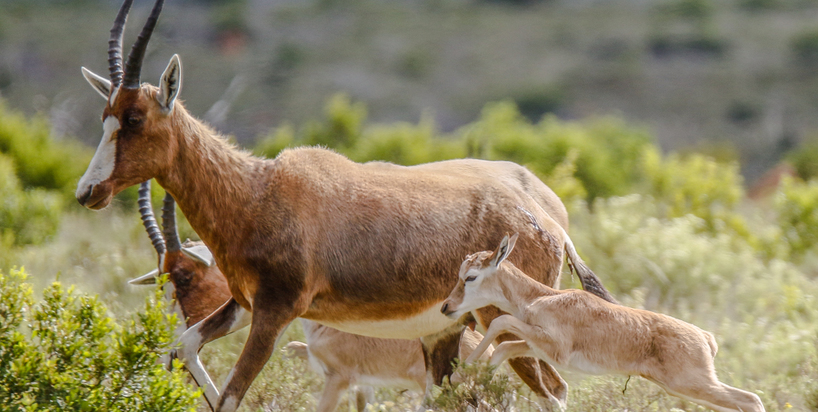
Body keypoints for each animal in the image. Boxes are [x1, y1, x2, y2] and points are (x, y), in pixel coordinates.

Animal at [78, 1, 612, 410]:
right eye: (105, 115)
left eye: (134, 117)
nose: (88, 191)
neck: (259, 190)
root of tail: (550, 226)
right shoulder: (245, 305)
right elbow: (182, 349)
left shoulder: (275, 313)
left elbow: (230, 396)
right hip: (448, 332)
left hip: (503, 325)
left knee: (554, 391)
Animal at [440, 235, 764, 412]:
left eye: (470, 277)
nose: (446, 307)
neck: (543, 298)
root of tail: (705, 337)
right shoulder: (536, 345)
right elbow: (505, 347)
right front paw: (466, 378)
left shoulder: (553, 347)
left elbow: (502, 321)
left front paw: (459, 375)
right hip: (688, 389)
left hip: (694, 384)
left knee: (751, 400)